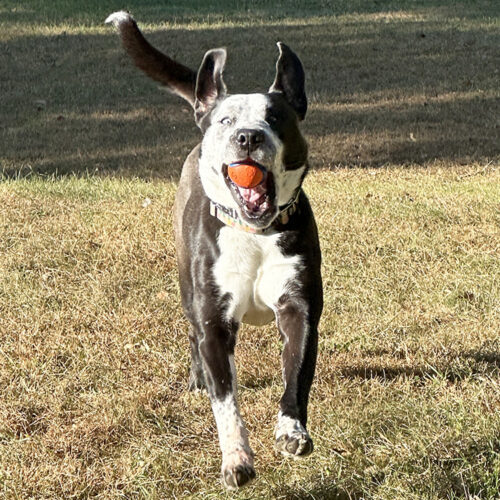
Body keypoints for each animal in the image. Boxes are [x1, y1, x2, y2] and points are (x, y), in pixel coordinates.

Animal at [106, 11, 324, 488]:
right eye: (226, 121)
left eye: (276, 117)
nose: (248, 137)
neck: (255, 234)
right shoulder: (215, 324)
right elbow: (226, 403)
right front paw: (236, 457)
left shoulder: (298, 309)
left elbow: (296, 376)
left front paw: (291, 431)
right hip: (188, 289)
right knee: (192, 335)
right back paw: (197, 380)